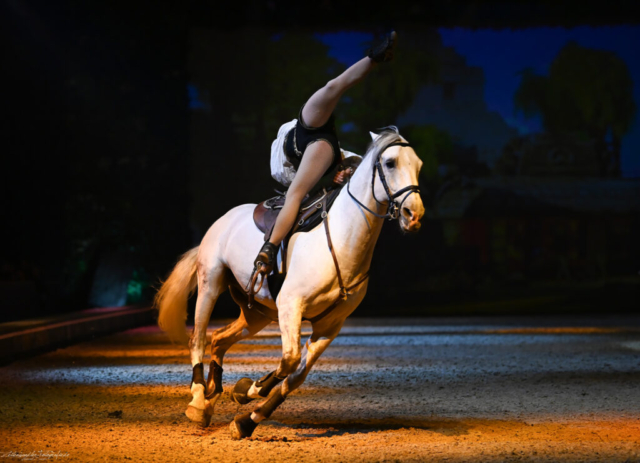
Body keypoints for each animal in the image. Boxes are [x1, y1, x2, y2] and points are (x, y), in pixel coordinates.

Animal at [155, 127, 424, 438]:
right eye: (390, 163)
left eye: (419, 166)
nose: (414, 215)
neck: (340, 241)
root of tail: (224, 219)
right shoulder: (290, 306)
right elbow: (290, 359)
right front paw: (252, 390)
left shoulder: (330, 325)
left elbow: (295, 376)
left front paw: (247, 414)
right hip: (210, 284)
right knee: (197, 337)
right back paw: (199, 401)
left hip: (257, 313)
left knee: (219, 339)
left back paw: (215, 396)